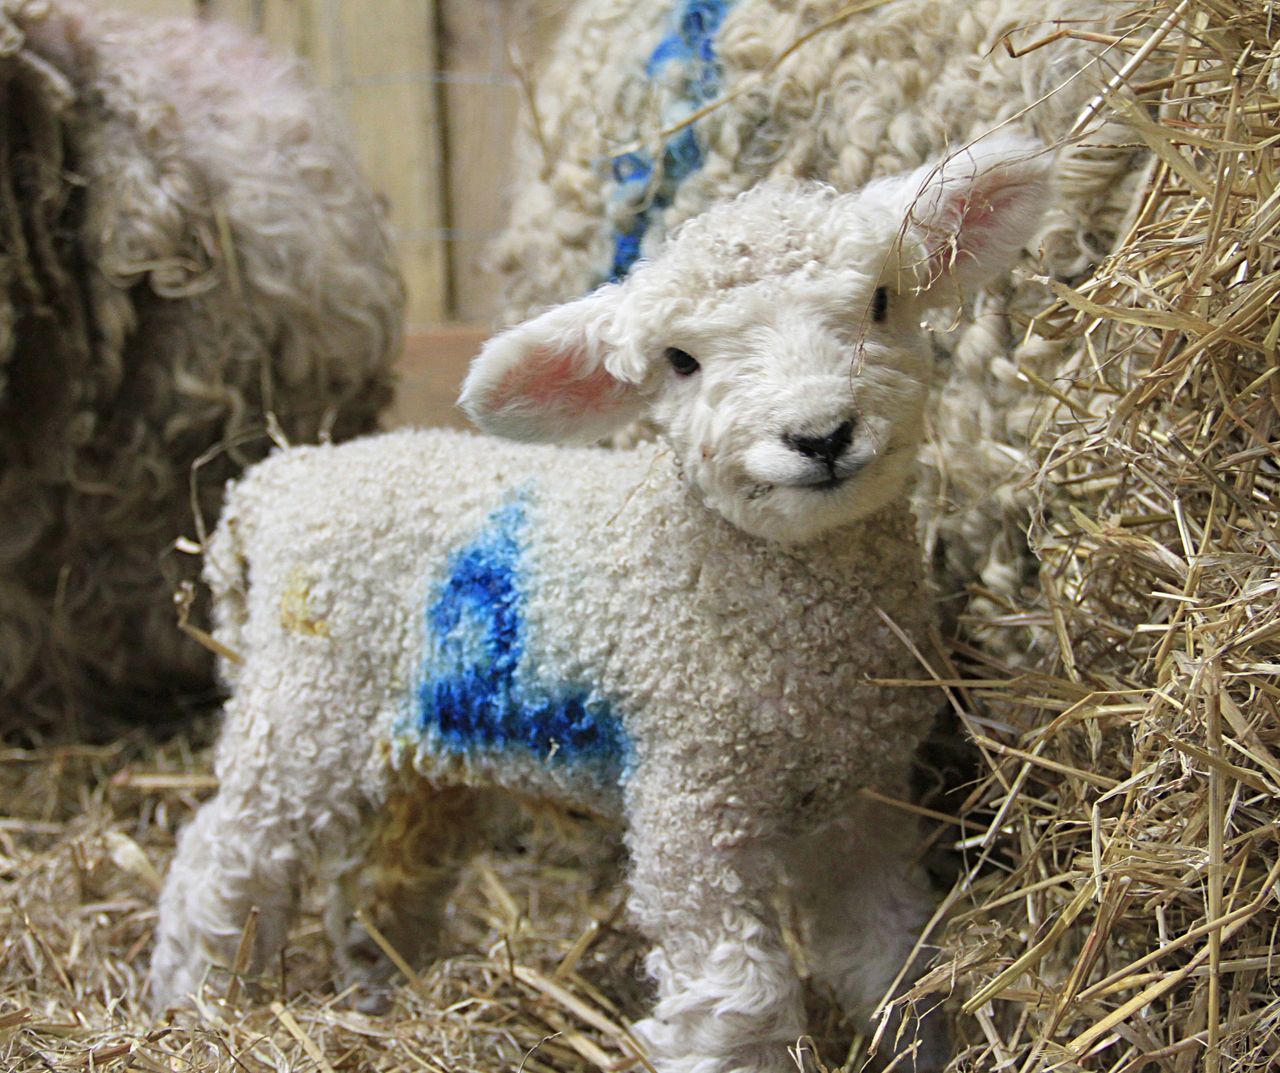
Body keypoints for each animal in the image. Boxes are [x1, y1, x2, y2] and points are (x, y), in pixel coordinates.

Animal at [149, 136, 1049, 1073]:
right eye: (681, 361)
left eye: (880, 300)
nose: (819, 435)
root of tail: (275, 482)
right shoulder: (690, 799)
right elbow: (739, 997)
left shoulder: (861, 797)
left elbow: (887, 949)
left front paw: (920, 1042)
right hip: (302, 710)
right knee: (219, 860)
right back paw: (198, 1001)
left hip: (422, 742)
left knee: (381, 869)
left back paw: (380, 984)